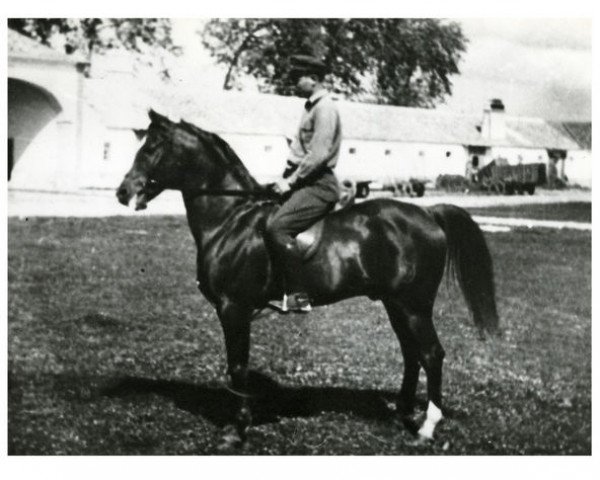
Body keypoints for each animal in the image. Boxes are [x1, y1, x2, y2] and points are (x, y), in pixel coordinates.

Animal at [115, 110, 500, 448]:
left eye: (150, 148)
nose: (123, 193)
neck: (231, 219)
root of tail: (428, 213)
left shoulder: (233, 308)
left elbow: (237, 366)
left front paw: (237, 430)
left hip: (414, 305)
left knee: (431, 354)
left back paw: (427, 427)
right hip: (396, 305)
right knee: (411, 354)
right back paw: (401, 414)